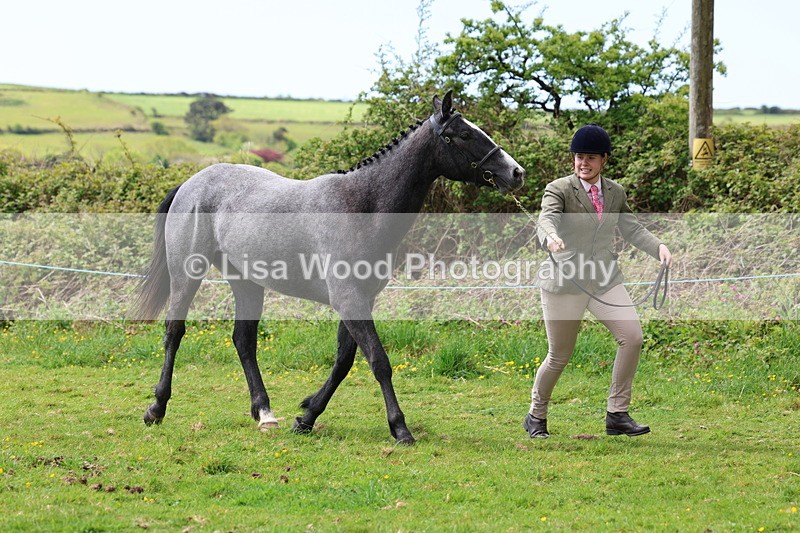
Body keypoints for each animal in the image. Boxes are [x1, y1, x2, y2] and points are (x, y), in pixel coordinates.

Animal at [133, 90, 525, 444]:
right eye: (463, 134)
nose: (516, 172)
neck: (362, 205)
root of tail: (190, 184)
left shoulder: (360, 300)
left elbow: (343, 362)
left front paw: (306, 417)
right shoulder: (349, 299)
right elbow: (378, 361)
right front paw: (400, 429)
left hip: (246, 282)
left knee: (244, 341)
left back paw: (265, 413)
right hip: (187, 274)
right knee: (175, 332)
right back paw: (157, 409)